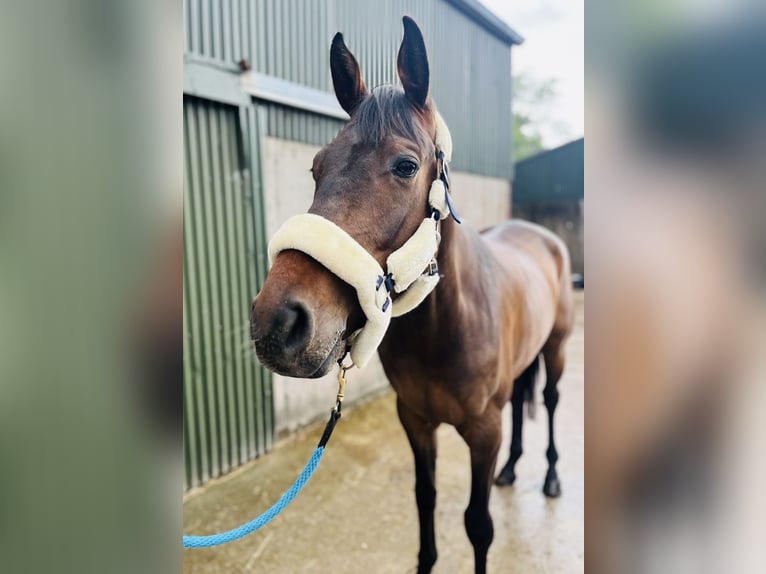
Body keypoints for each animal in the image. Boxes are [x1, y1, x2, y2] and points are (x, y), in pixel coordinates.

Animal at [250, 17, 574, 574]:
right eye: (316, 167)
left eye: (405, 165)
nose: (278, 321)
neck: (443, 327)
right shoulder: (415, 421)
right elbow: (425, 499)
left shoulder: (483, 431)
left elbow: (478, 524)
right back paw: (513, 470)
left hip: (555, 351)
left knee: (550, 402)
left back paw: (551, 478)